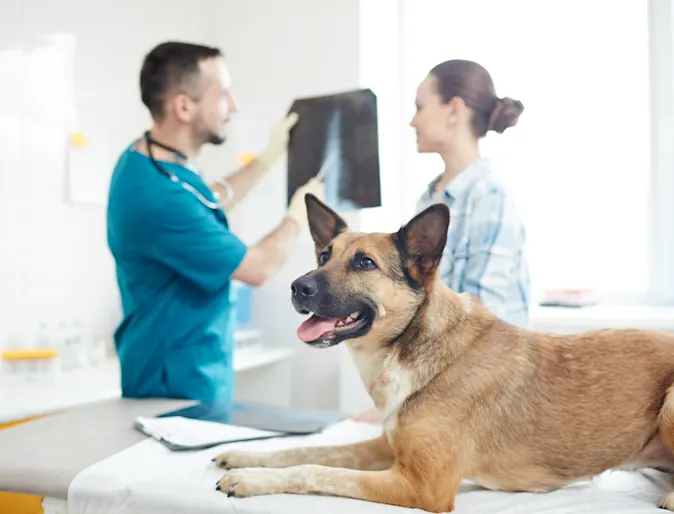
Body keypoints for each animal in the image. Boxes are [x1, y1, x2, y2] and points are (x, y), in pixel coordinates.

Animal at [213, 194, 672, 510]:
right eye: (323, 255)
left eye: (364, 263)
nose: (297, 287)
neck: (413, 344)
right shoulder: (385, 448)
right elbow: (306, 450)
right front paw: (246, 457)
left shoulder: (421, 486)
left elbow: (317, 470)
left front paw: (249, 480)